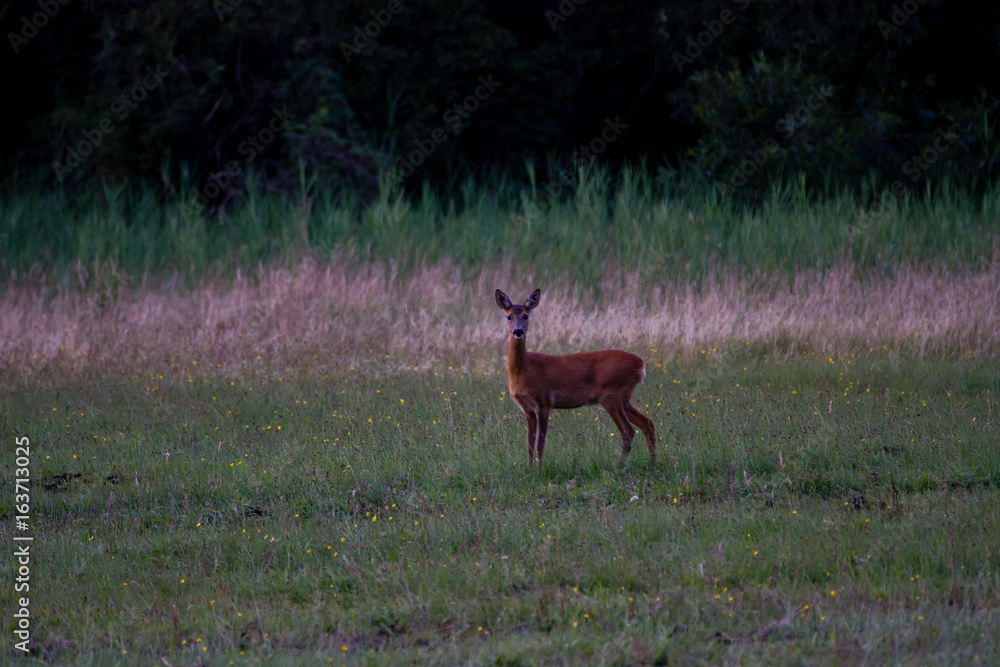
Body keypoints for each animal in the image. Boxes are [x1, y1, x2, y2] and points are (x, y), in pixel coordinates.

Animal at [495, 288, 657, 466]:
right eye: (509, 316)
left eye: (526, 315)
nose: (518, 331)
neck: (524, 371)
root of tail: (640, 364)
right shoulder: (528, 409)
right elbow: (529, 443)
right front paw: (529, 469)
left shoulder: (544, 402)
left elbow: (540, 443)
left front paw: (539, 469)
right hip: (624, 397)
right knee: (648, 423)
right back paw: (652, 461)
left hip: (611, 395)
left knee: (629, 430)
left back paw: (620, 465)